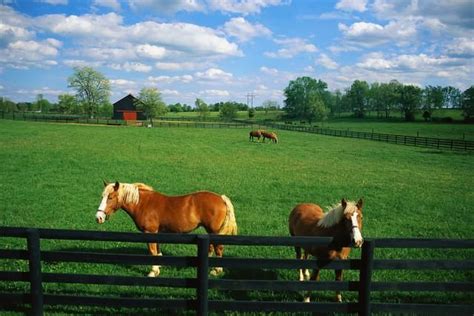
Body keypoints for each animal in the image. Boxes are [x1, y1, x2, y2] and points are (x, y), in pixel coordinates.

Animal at [95, 183, 239, 276]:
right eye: (102, 196)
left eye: (110, 197)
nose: (98, 217)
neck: (143, 203)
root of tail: (221, 198)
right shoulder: (157, 233)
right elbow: (157, 251)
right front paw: (158, 268)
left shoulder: (150, 232)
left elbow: (152, 251)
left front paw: (153, 271)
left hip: (214, 231)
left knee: (219, 248)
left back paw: (216, 270)